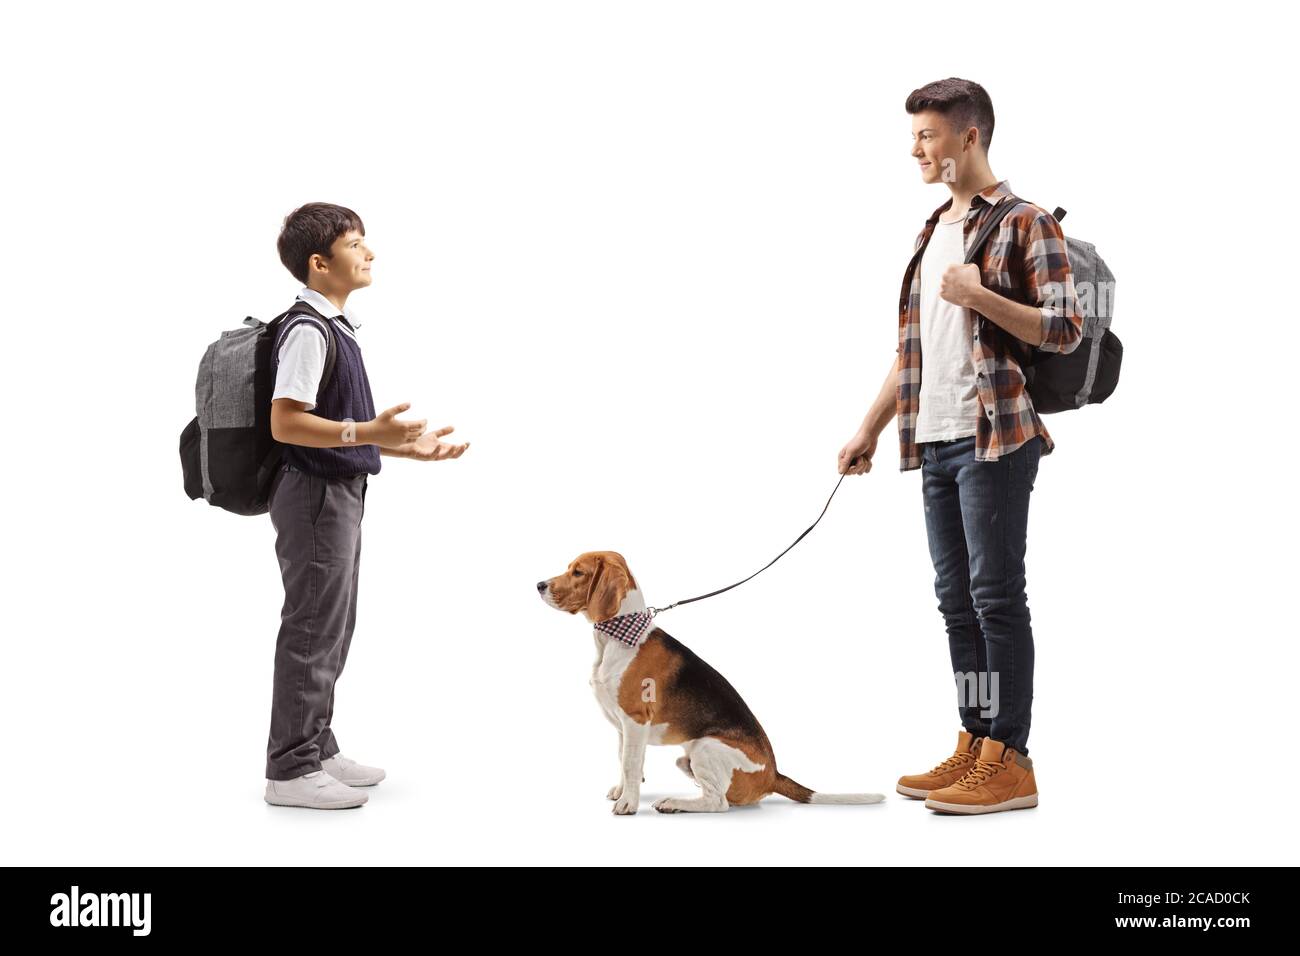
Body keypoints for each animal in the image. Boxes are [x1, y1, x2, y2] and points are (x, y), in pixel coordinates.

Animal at [535, 554, 883, 816]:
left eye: (578, 572)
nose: (539, 585)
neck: (617, 636)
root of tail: (773, 775)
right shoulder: (622, 726)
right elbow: (622, 761)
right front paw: (621, 791)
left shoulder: (635, 721)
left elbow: (631, 765)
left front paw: (628, 803)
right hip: (687, 757)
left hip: (705, 747)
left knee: (719, 803)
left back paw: (673, 803)